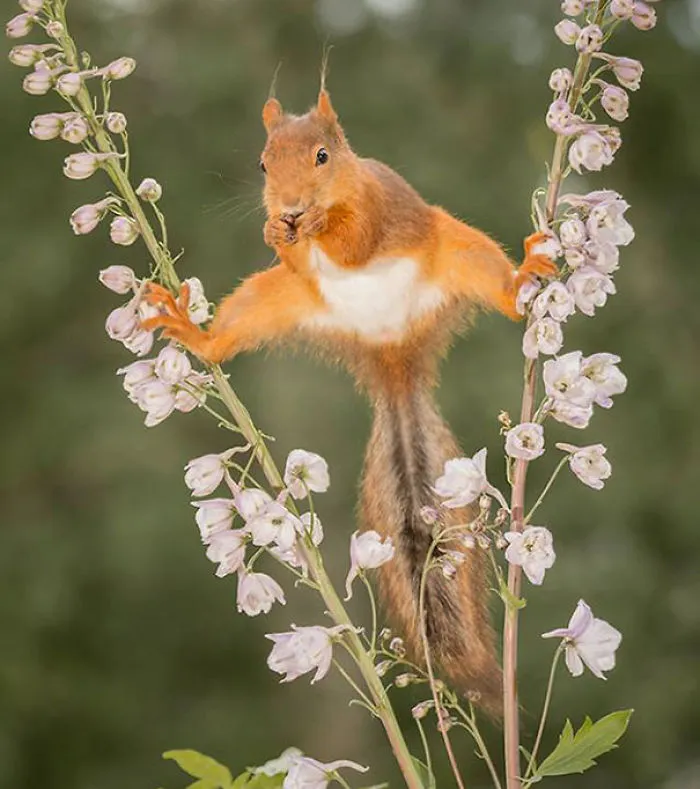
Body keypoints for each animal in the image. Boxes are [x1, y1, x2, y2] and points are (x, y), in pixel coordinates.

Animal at [142, 87, 556, 715]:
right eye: (263, 163)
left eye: (322, 155)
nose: (290, 208)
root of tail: (390, 350)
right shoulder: (293, 264)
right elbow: (291, 252)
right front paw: (275, 229)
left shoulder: (376, 206)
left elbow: (356, 237)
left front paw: (318, 221)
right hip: (272, 298)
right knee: (233, 327)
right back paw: (196, 333)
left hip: (462, 250)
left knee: (501, 290)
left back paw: (524, 275)